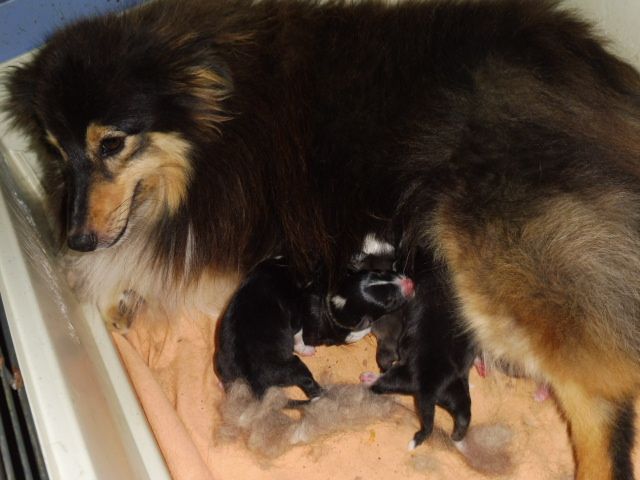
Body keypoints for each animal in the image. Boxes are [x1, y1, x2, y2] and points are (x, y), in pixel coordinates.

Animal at [215, 256, 416, 400]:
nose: (410, 282)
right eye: (389, 301)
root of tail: (251, 381)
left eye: (380, 272)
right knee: (309, 384)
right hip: (292, 367)